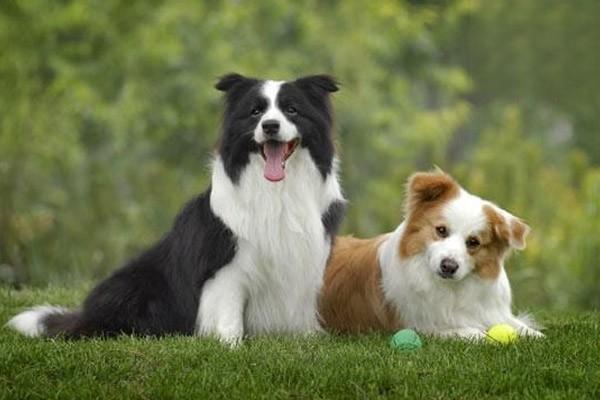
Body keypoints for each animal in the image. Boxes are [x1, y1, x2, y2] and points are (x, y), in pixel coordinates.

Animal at [8, 73, 346, 346]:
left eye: (292, 110)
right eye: (255, 112)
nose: (271, 126)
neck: (277, 190)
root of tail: (85, 316)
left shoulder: (304, 260)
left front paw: (307, 339)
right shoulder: (225, 266)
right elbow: (228, 309)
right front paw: (230, 345)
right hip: (134, 282)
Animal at [318, 170, 544, 340]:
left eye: (473, 242)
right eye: (441, 230)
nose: (448, 266)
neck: (452, 289)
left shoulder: (492, 312)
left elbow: (524, 329)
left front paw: (533, 334)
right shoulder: (421, 326)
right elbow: (467, 332)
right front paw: (479, 334)